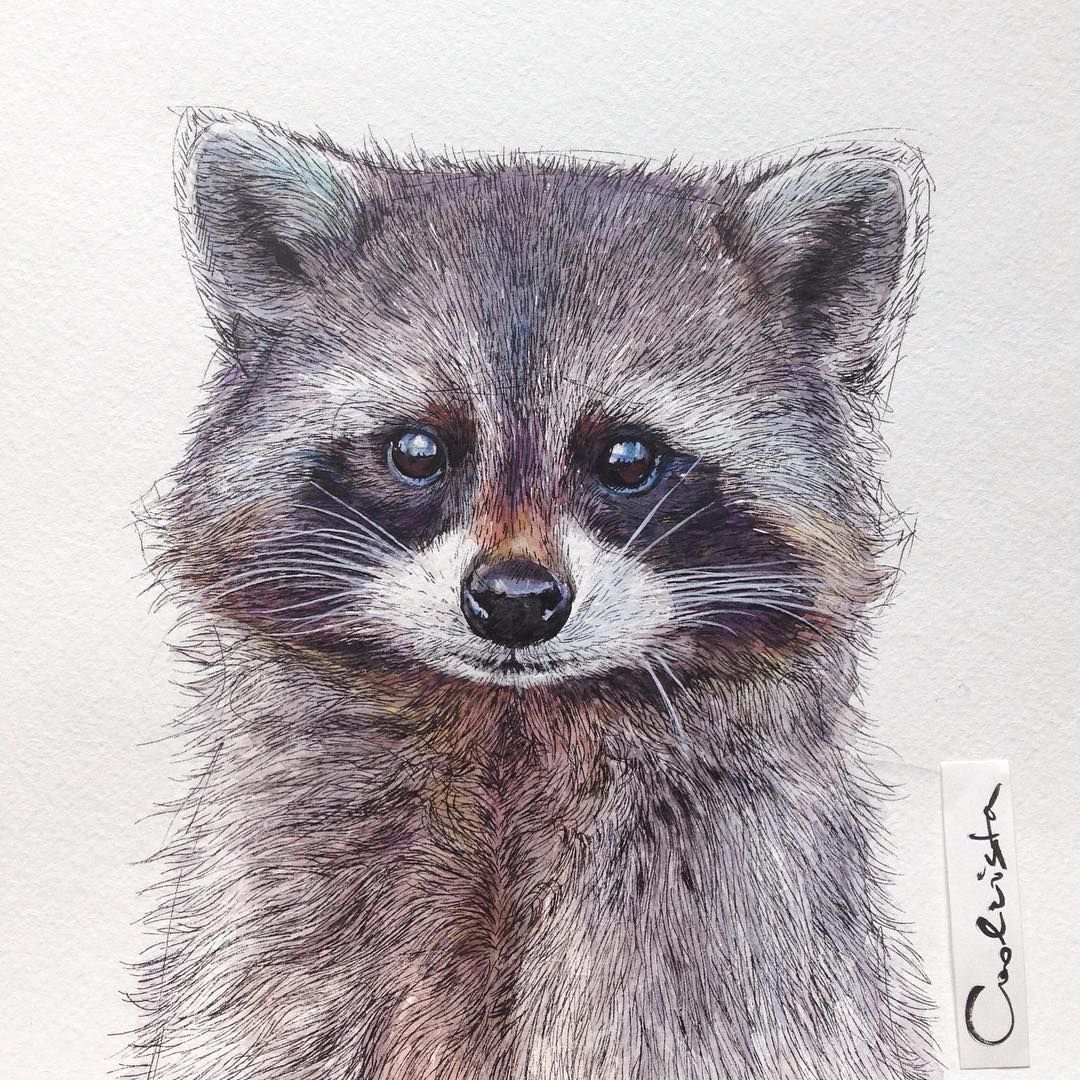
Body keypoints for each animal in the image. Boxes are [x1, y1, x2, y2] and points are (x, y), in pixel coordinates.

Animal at [128, 108, 937, 1080]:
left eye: (627, 457)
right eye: (417, 450)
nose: (513, 599)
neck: (511, 727)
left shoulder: (719, 938)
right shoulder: (282, 924)